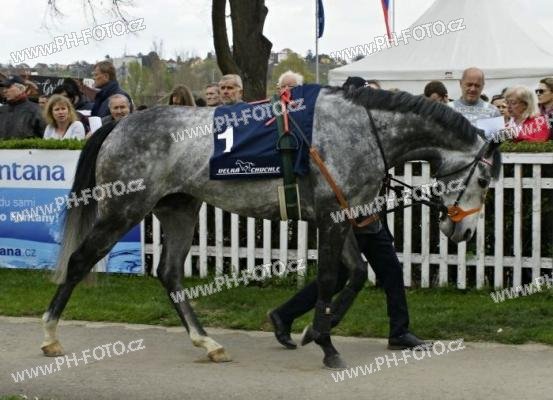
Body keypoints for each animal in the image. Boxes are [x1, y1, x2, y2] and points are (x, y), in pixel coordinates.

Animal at [40, 86, 501, 369]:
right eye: (483, 180)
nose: (464, 233)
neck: (362, 128)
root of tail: (119, 123)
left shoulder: (343, 214)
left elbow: (355, 274)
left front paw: (315, 328)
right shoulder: (332, 217)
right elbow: (332, 276)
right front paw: (326, 344)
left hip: (179, 208)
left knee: (169, 273)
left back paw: (208, 343)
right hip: (123, 208)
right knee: (80, 260)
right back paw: (49, 335)